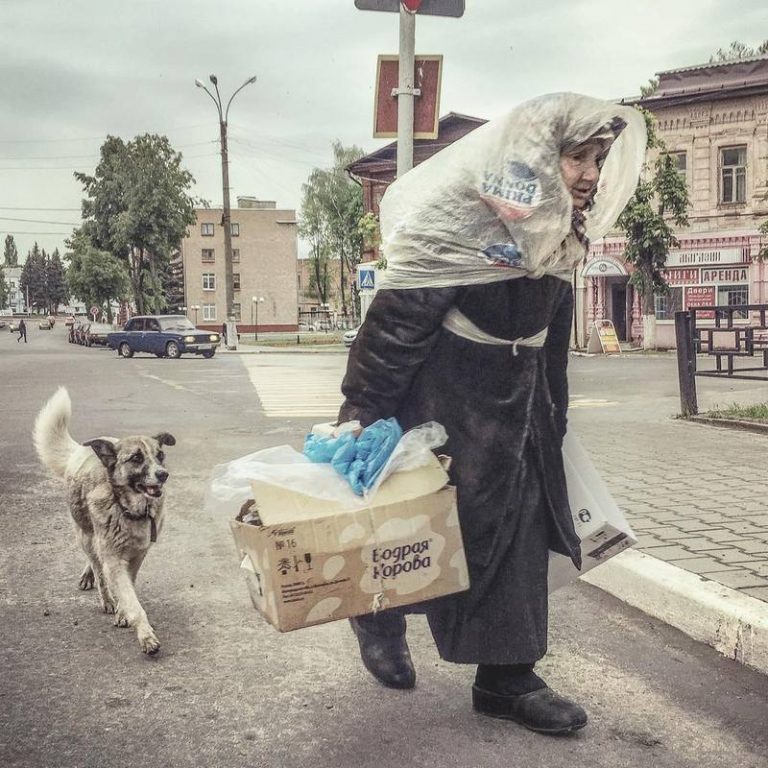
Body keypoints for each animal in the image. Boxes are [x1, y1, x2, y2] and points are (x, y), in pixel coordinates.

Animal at [33, 388, 176, 652]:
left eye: (160, 455)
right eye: (136, 458)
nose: (163, 474)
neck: (127, 509)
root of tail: (81, 451)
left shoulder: (138, 554)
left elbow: (129, 586)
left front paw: (123, 612)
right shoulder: (115, 559)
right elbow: (130, 598)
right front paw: (145, 634)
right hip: (85, 535)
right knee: (98, 566)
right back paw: (104, 594)